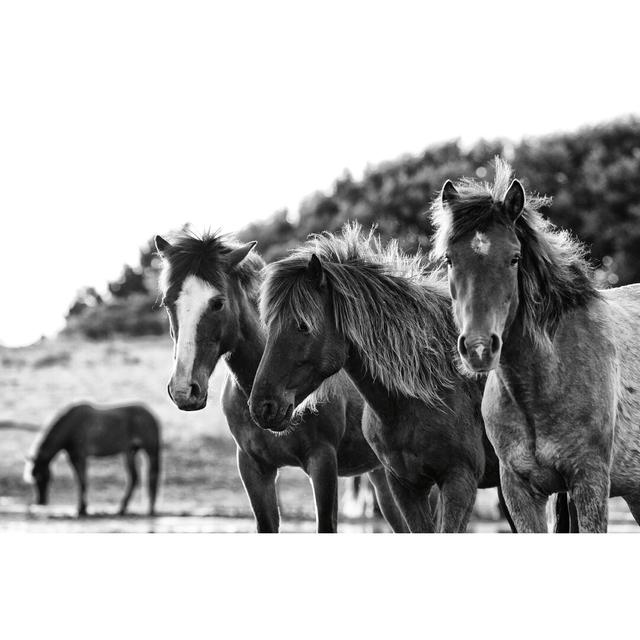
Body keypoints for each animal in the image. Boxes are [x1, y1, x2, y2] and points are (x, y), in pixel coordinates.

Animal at [25, 402, 161, 516]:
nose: (40, 501)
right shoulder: (73, 457)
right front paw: (82, 508)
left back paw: (149, 509)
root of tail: (151, 415)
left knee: (152, 476)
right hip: (130, 452)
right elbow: (80, 481)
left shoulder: (80, 456)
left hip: (150, 452)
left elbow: (82, 481)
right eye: (33, 478)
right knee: (134, 478)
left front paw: (82, 509)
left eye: (42, 477)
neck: (71, 426)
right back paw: (122, 509)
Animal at [154, 232, 404, 532]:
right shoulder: (253, 468)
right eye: (168, 302)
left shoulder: (322, 462)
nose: (184, 390)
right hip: (383, 478)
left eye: (217, 303)